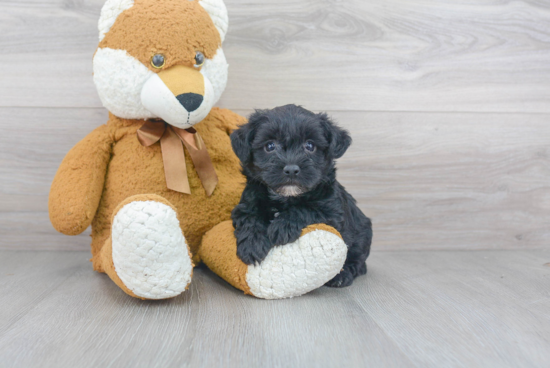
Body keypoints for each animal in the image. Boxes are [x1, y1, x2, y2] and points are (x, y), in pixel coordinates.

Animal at [231, 103, 374, 288]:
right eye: (270, 146)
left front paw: (282, 225)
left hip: (362, 235)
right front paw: (252, 243)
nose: (291, 169)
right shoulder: (246, 204)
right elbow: (250, 218)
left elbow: (306, 209)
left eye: (310, 146)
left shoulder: (331, 211)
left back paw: (342, 275)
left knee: (358, 260)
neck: (286, 197)